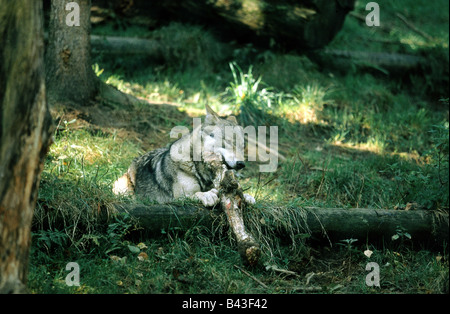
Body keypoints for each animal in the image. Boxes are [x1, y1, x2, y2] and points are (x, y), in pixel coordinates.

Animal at [111, 104, 255, 207]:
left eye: (242, 147)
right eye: (229, 142)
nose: (242, 164)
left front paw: (247, 197)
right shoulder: (177, 197)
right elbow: (195, 194)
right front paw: (206, 195)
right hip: (123, 187)